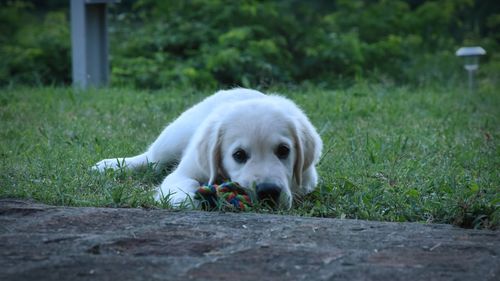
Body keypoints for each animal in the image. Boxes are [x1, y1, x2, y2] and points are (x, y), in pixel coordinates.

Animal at [92, 87, 322, 208]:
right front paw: (190, 199)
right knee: (150, 159)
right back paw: (108, 165)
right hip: (172, 139)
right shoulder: (184, 172)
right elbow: (181, 186)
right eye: (239, 155)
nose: (268, 191)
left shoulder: (307, 181)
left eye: (284, 150)